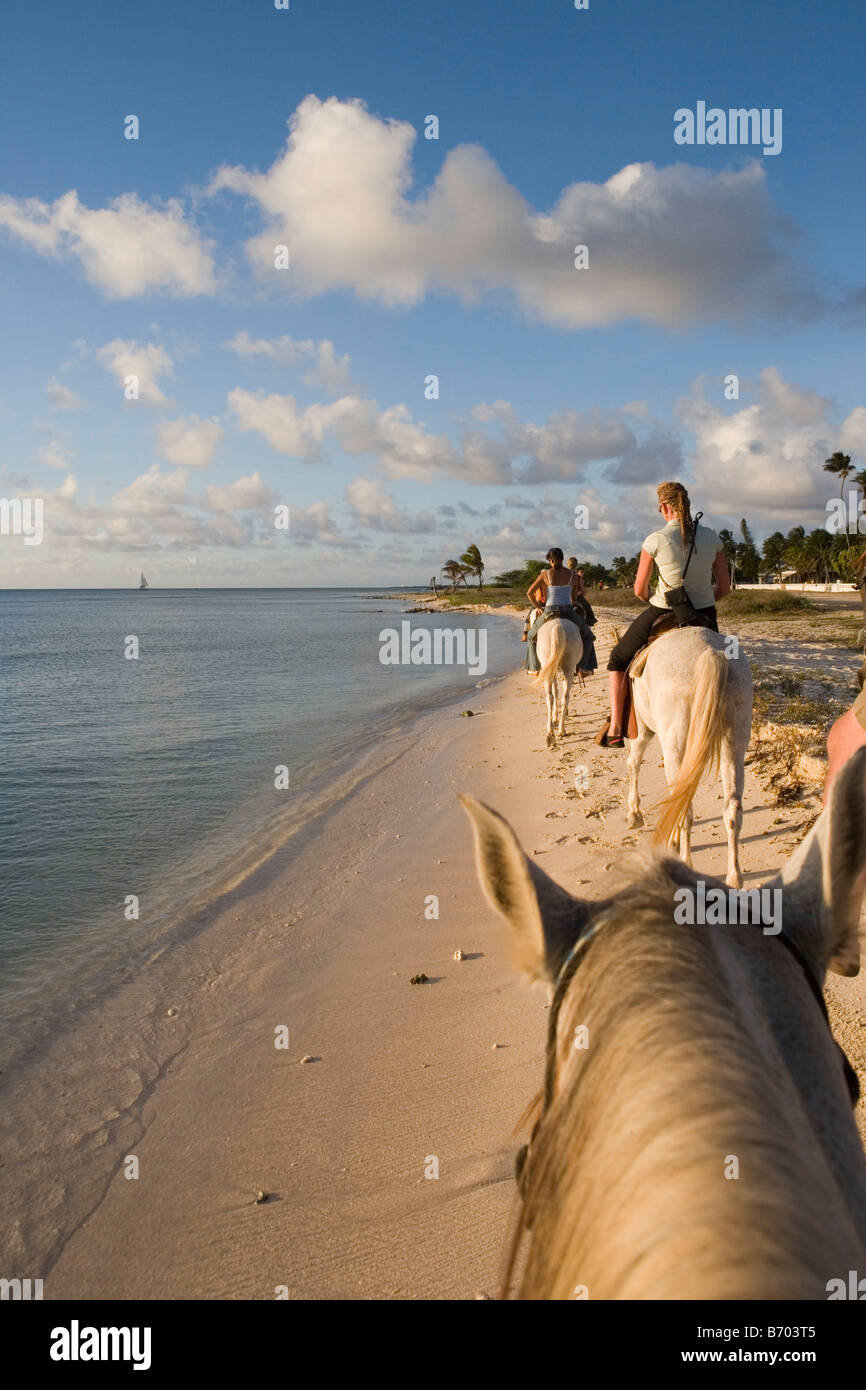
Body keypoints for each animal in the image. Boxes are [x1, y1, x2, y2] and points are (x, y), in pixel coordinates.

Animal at [536, 619, 583, 750]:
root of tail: (558, 626)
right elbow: (558, 691)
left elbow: (555, 691)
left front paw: (555, 717)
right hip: (568, 668)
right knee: (565, 696)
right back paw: (561, 730)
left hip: (550, 666)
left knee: (551, 696)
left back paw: (551, 733)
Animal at [625, 625, 756, 884]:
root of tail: (711, 651)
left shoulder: (642, 730)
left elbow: (634, 763)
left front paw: (635, 814)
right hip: (734, 742)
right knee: (733, 807)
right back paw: (734, 877)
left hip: (674, 744)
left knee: (683, 802)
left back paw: (686, 865)